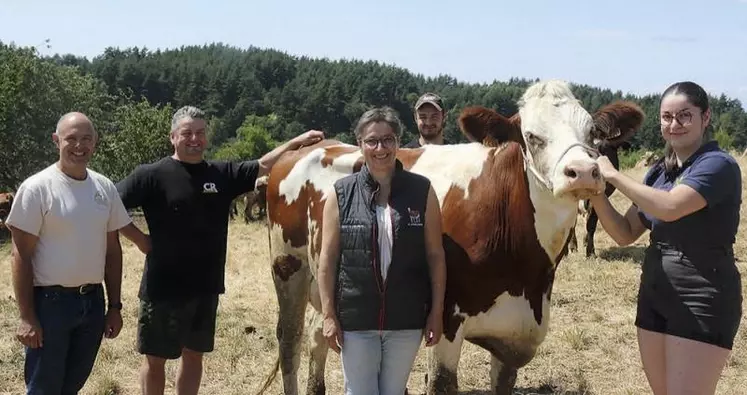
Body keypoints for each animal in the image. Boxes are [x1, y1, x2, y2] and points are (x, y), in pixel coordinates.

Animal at [256, 80, 644, 395]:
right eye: (532, 136)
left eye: (592, 132)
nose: (583, 172)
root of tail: (309, 148)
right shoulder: (444, 321)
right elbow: (441, 383)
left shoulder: (514, 332)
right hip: (287, 267)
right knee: (290, 342)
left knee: (318, 336)